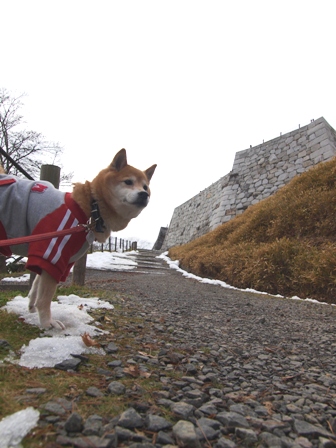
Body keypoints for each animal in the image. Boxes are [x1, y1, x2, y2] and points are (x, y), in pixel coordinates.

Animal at [0, 150, 155, 328]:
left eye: (145, 187)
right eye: (128, 182)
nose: (144, 194)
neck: (91, 209)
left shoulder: (49, 259)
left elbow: (36, 286)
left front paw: (32, 306)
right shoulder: (53, 254)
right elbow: (45, 298)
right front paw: (47, 323)